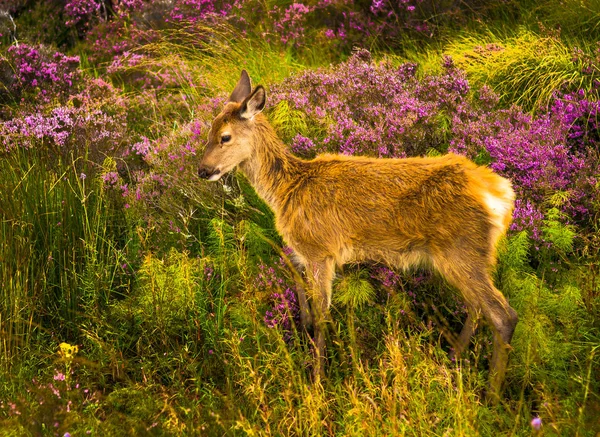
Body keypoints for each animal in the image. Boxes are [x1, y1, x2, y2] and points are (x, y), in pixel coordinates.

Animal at [199, 70, 516, 400]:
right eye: (208, 130)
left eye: (225, 136)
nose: (203, 170)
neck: (287, 191)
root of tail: (501, 195)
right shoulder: (301, 253)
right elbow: (303, 302)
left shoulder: (320, 250)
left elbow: (321, 316)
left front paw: (318, 382)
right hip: (462, 256)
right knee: (476, 308)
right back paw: (452, 362)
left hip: (461, 249)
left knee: (502, 315)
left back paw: (491, 395)